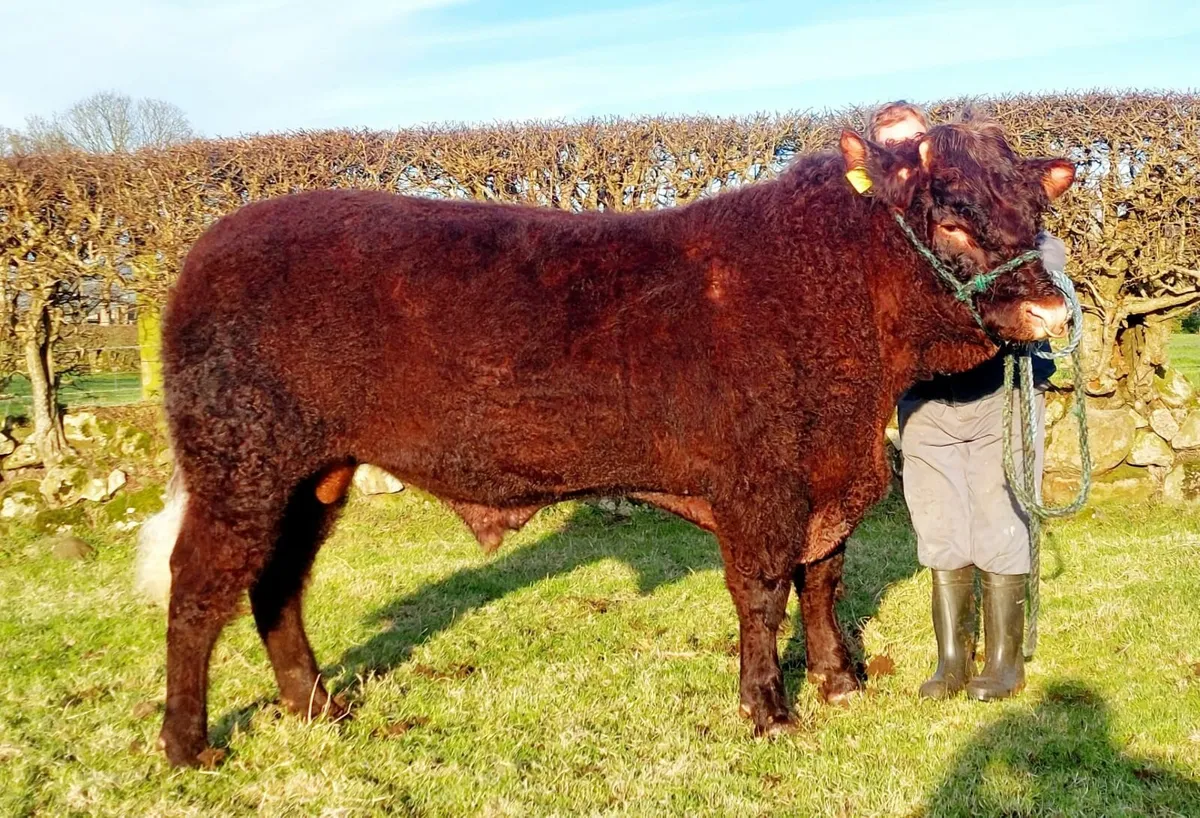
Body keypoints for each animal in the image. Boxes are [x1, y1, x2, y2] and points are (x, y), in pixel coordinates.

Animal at [137, 121, 1074, 766]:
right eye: (951, 223)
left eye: (1034, 212)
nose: (1050, 311)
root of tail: (208, 250)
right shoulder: (760, 487)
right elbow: (764, 594)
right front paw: (769, 712)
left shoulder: (829, 478)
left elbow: (825, 580)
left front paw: (841, 683)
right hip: (241, 465)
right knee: (200, 589)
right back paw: (189, 744)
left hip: (313, 476)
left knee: (277, 586)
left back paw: (316, 706)